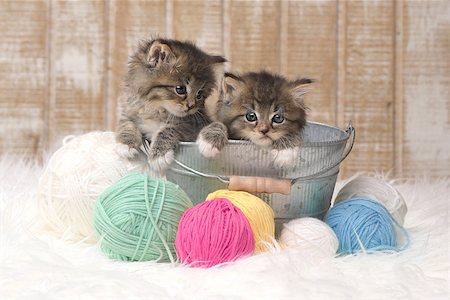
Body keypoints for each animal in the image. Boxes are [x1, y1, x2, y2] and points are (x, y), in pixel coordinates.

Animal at [115, 37, 225, 171]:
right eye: (180, 89)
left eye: (199, 94)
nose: (191, 106)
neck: (155, 109)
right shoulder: (130, 109)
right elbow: (126, 123)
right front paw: (125, 144)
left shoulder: (190, 125)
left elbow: (168, 129)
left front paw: (159, 156)